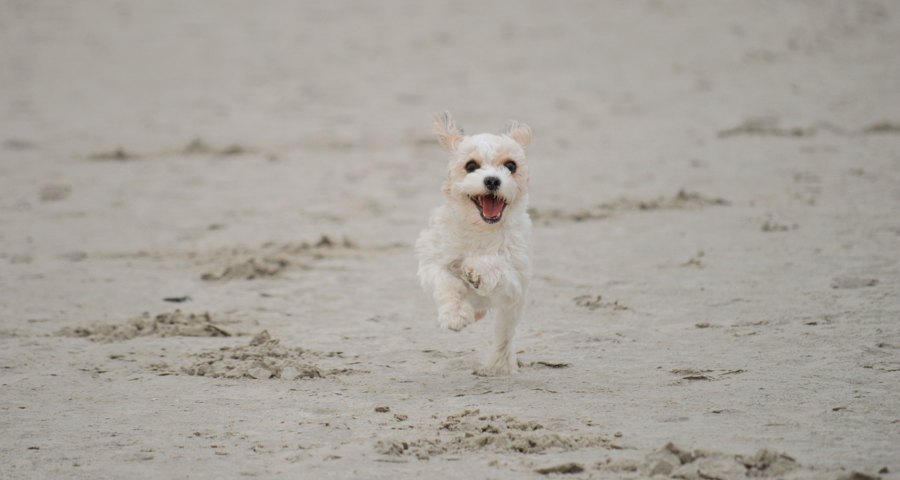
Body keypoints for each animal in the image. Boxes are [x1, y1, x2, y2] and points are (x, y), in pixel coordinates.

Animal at [416, 112, 536, 376]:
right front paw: (454, 316)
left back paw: (500, 365)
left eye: (510, 166)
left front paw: (476, 270)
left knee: (503, 335)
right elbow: (447, 283)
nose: (492, 180)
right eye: (471, 166)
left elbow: (496, 267)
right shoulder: (433, 260)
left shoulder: (516, 279)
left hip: (511, 309)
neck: (482, 229)